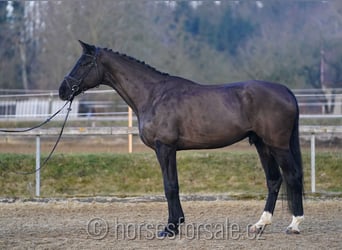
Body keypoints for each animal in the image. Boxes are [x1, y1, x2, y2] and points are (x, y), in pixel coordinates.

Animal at [59, 40, 304, 236]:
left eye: (84, 63)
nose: (63, 90)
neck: (153, 95)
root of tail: (286, 91)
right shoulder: (168, 150)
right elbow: (172, 185)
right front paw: (176, 224)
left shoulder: (165, 148)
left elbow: (170, 186)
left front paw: (170, 228)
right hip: (262, 145)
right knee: (274, 180)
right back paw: (260, 224)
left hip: (278, 145)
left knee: (292, 176)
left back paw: (294, 225)